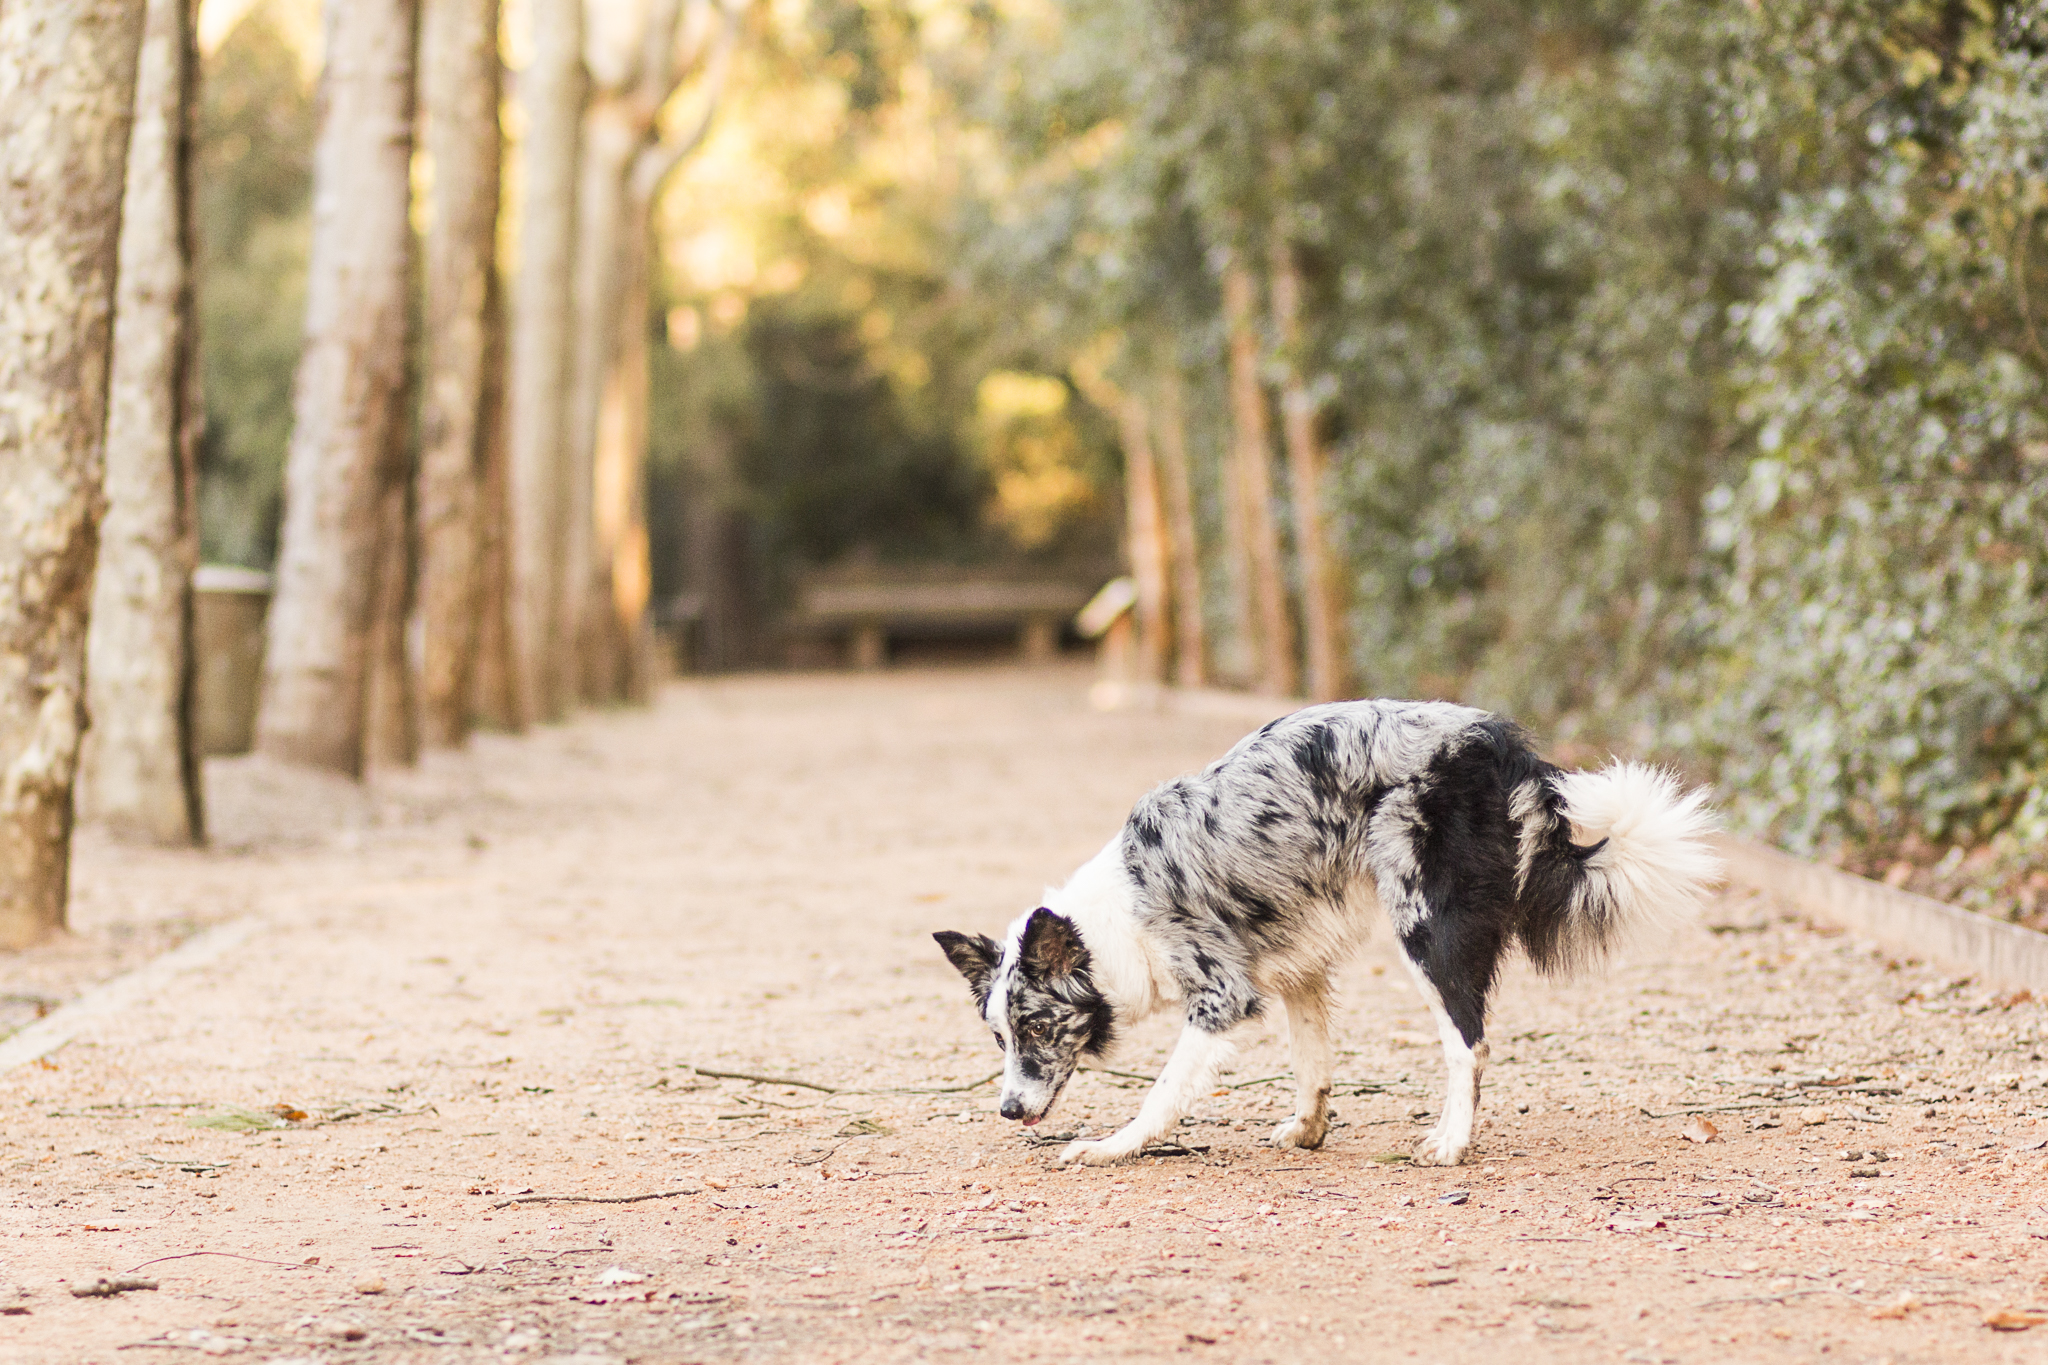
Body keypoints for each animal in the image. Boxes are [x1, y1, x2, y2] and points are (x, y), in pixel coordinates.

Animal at [937, 703, 1720, 1162]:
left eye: (1038, 1028)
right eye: (999, 1039)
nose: (1008, 1110)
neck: (1117, 916)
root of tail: (1502, 745)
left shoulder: (1221, 995)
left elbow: (1163, 1091)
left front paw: (1110, 1146)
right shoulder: (1298, 969)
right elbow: (1311, 1061)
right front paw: (1308, 1130)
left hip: (1425, 933)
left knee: (1469, 1041)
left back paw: (1450, 1142)